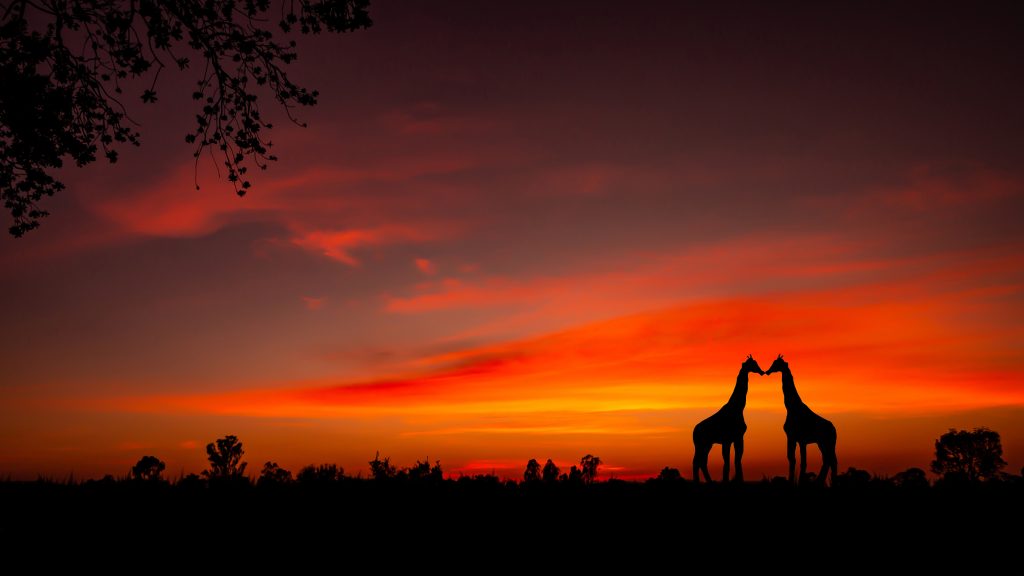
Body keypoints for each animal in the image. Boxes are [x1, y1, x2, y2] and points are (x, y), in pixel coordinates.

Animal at [765, 354, 835, 483]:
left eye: (777, 364)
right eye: (773, 362)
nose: (767, 371)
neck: (791, 407)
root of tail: (834, 430)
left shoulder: (800, 439)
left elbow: (801, 462)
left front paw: (797, 481)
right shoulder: (793, 438)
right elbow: (792, 459)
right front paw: (793, 480)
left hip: (827, 443)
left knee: (830, 461)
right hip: (823, 443)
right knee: (828, 461)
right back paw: (822, 481)